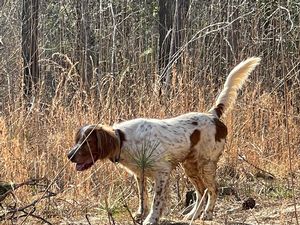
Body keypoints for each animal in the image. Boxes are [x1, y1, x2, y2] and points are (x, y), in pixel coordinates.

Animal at [67, 57, 260, 225]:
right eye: (78, 140)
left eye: (87, 142)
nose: (69, 155)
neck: (123, 140)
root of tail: (213, 115)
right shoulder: (140, 174)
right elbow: (143, 197)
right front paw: (140, 214)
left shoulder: (162, 172)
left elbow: (157, 200)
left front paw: (151, 219)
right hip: (190, 166)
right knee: (201, 191)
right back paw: (192, 214)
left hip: (206, 164)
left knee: (213, 189)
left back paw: (207, 213)